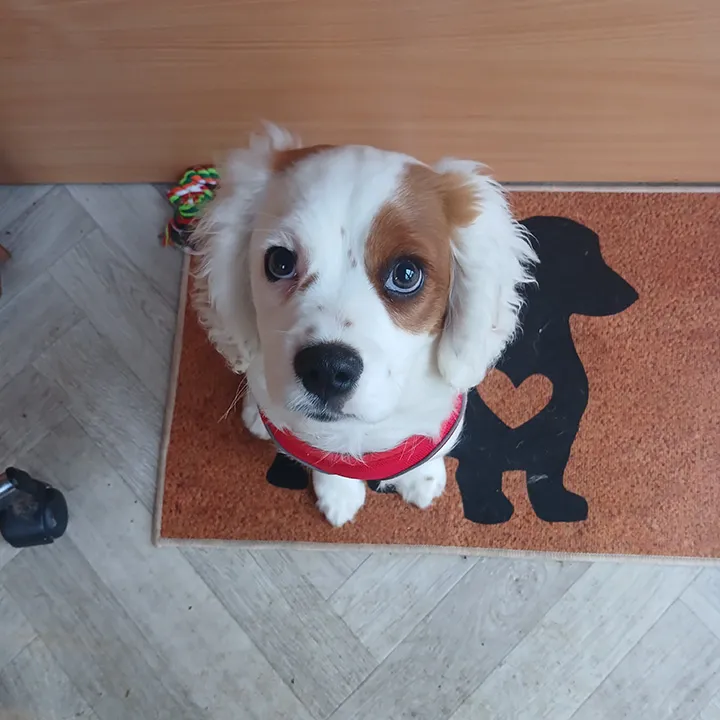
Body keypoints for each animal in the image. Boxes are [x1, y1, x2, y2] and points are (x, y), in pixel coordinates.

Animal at [193, 126, 536, 526]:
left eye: (406, 274)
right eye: (280, 262)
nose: (326, 369)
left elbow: (429, 446)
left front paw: (421, 478)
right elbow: (326, 463)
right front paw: (339, 495)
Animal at [450, 216, 639, 524]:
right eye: (586, 256)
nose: (632, 294)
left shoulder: (558, 430)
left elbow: (546, 474)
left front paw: (557, 507)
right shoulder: (477, 442)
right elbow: (478, 471)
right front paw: (488, 509)